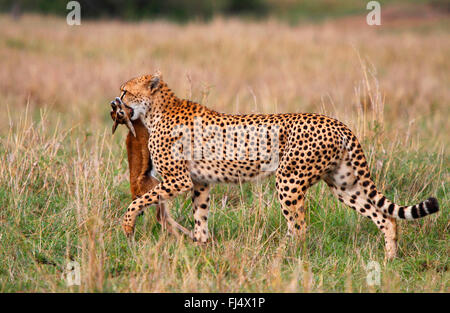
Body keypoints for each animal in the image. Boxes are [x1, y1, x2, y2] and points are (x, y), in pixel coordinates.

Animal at [112, 71, 440, 258]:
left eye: (126, 90)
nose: (116, 102)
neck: (157, 110)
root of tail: (337, 122)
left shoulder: (178, 180)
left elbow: (137, 201)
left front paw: (127, 227)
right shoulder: (200, 182)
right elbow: (200, 216)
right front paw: (201, 248)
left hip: (289, 180)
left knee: (300, 227)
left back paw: (285, 258)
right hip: (343, 184)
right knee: (385, 217)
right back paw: (389, 258)